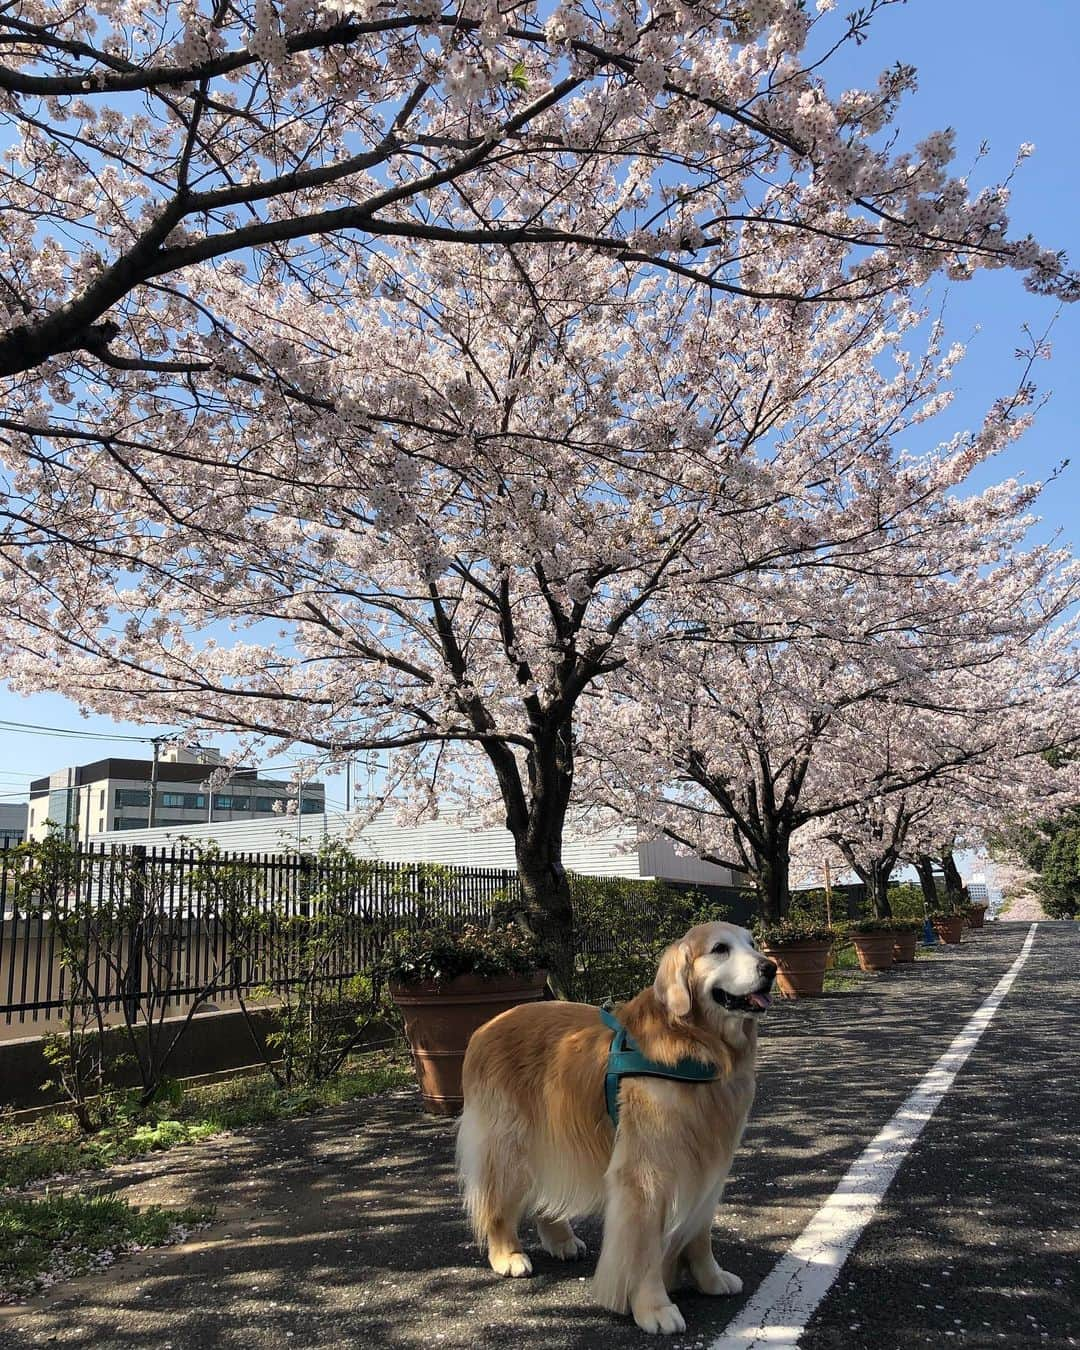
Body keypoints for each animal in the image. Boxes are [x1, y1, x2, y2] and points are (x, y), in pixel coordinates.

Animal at [459, 923, 777, 1333]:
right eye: (720, 948)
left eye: (752, 944)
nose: (770, 967)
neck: (696, 1045)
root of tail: (485, 1026)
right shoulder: (645, 1175)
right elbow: (643, 1248)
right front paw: (653, 1306)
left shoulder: (710, 1165)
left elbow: (699, 1231)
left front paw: (709, 1277)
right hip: (510, 1145)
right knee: (498, 1203)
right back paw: (507, 1255)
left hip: (556, 1135)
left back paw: (561, 1239)